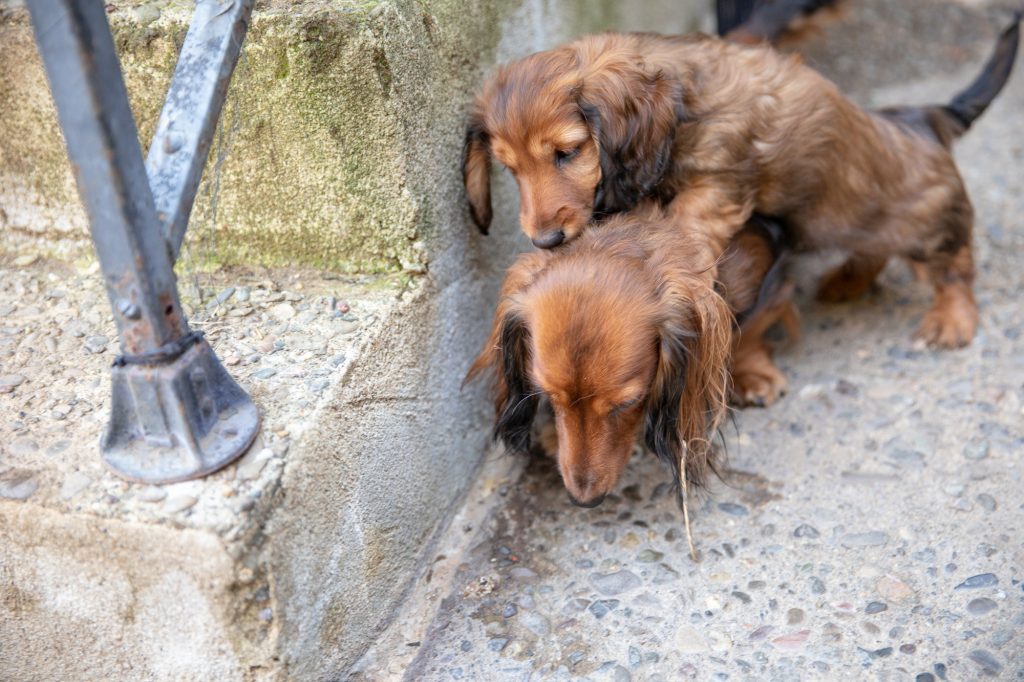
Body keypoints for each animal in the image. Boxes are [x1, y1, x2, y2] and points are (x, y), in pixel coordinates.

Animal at [466, 18, 1024, 356]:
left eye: (567, 152)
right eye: (509, 168)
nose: (544, 241)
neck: (686, 99)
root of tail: (926, 117)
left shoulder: (720, 185)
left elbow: (684, 227)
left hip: (927, 223)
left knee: (955, 263)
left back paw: (951, 319)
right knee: (874, 249)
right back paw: (847, 282)